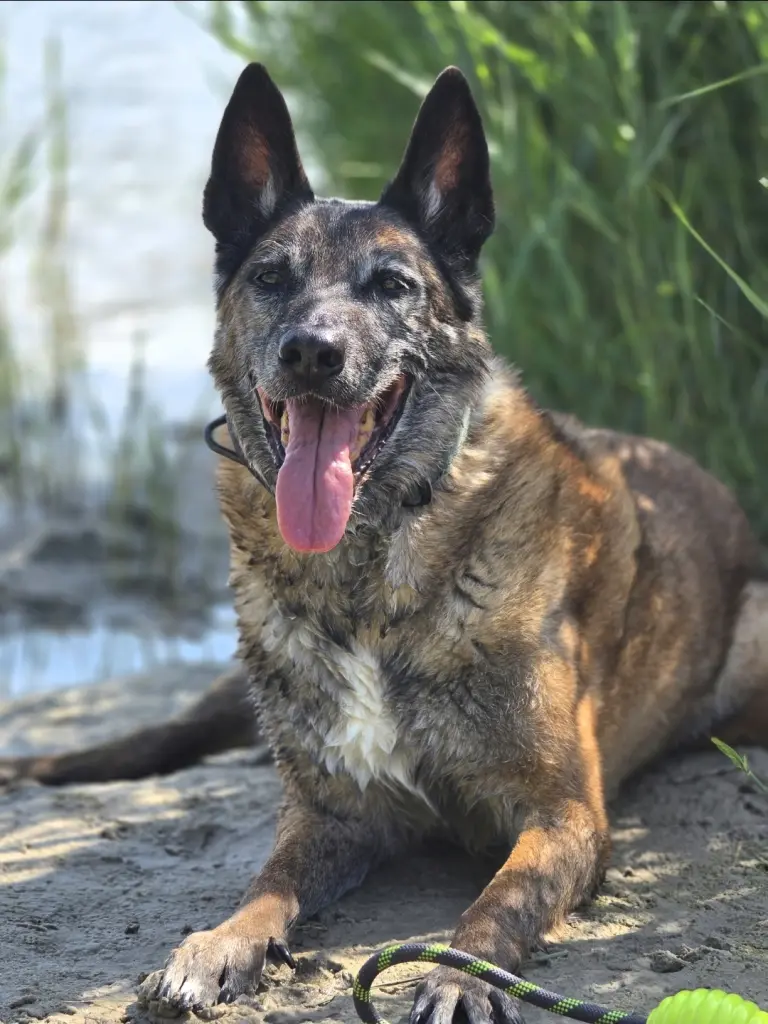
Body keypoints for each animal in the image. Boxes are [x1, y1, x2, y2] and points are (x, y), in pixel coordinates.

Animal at [2, 63, 768, 1024]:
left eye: (393, 285)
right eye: (271, 277)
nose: (311, 352)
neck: (370, 567)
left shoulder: (564, 814)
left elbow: (494, 904)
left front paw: (456, 977)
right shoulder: (330, 812)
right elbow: (264, 883)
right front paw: (217, 945)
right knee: (151, 741)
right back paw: (31, 766)